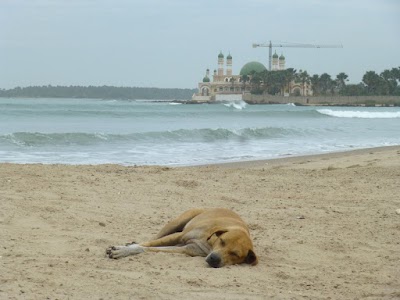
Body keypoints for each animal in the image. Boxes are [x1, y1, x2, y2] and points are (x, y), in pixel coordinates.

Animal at [106, 207, 256, 268]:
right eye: (222, 241)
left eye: (235, 254)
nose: (214, 259)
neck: (210, 243)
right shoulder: (179, 236)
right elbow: (147, 245)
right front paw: (124, 249)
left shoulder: (186, 249)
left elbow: (148, 249)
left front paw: (124, 250)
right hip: (176, 222)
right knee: (154, 237)